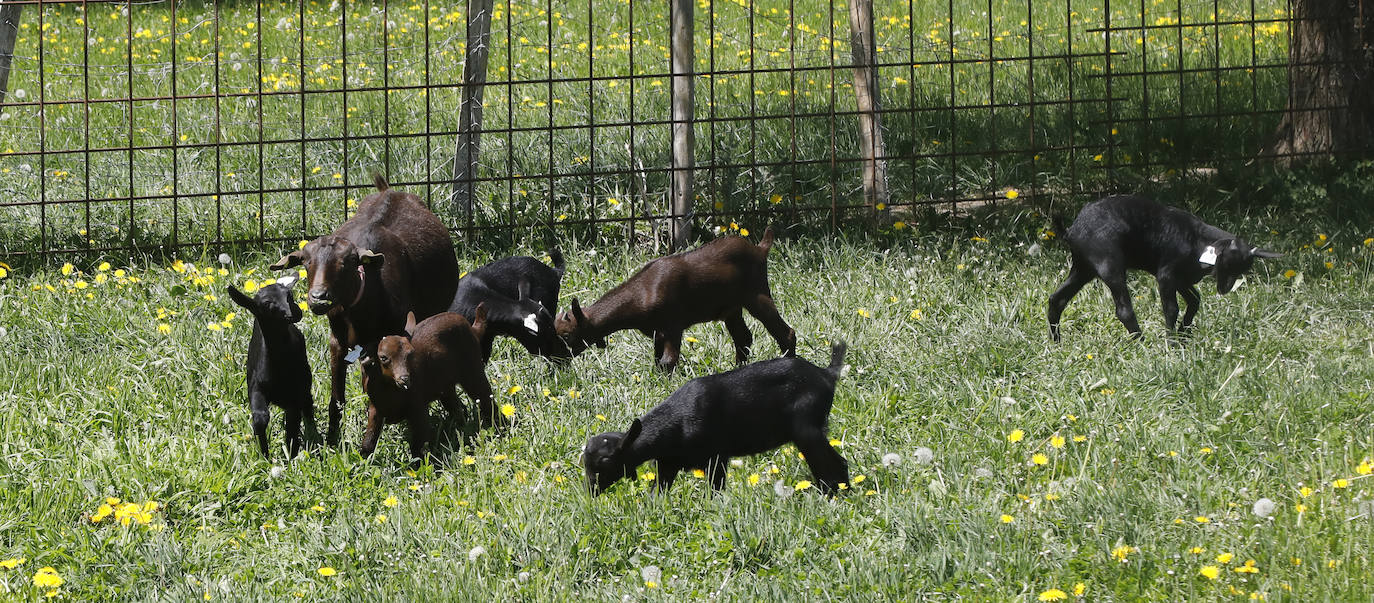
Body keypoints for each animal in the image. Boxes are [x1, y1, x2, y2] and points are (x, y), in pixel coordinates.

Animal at [230, 281, 316, 461]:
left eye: (289, 295)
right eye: (266, 304)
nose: (295, 312)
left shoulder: (294, 394)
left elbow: (293, 422)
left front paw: (291, 455)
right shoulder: (255, 386)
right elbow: (260, 418)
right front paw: (264, 456)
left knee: (307, 402)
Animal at [579, 342, 846, 497]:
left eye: (605, 461)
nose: (589, 492)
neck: (675, 425)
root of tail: (827, 374)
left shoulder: (715, 457)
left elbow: (714, 491)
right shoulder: (667, 464)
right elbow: (656, 495)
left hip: (806, 429)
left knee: (832, 464)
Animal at [1044, 196, 1280, 342]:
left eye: (1242, 270)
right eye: (1226, 263)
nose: (1224, 289)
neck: (1198, 242)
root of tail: (1072, 230)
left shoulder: (1182, 279)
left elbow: (1195, 300)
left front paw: (1184, 334)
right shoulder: (1166, 275)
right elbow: (1171, 308)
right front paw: (1172, 342)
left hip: (1083, 268)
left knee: (1057, 299)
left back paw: (1057, 342)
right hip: (1108, 265)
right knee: (1124, 310)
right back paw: (1141, 342)